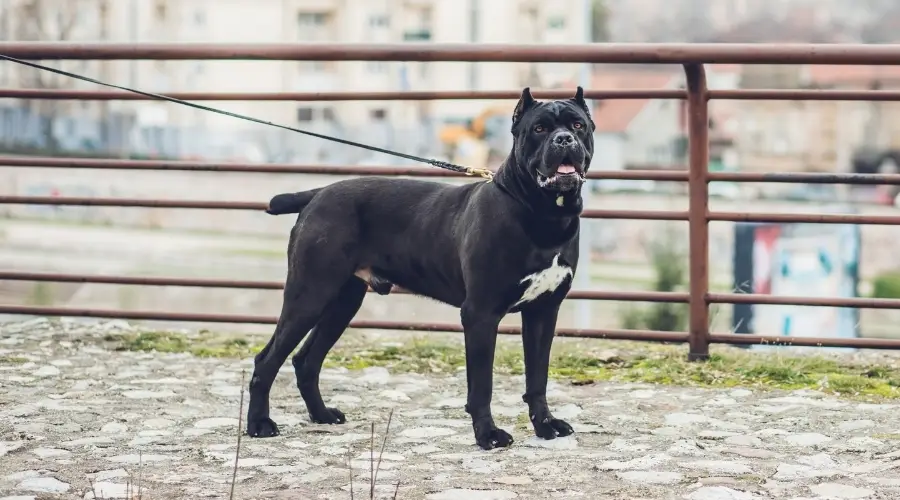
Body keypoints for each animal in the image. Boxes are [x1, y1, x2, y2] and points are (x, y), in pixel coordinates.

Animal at [250, 86, 596, 450]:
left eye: (578, 124)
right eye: (539, 129)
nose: (563, 139)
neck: (543, 212)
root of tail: (317, 194)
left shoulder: (543, 312)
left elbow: (538, 378)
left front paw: (545, 425)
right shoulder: (481, 313)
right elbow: (482, 385)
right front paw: (487, 434)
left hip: (343, 301)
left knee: (307, 360)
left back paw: (322, 415)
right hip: (310, 294)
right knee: (268, 360)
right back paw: (259, 424)